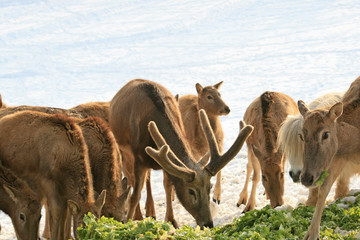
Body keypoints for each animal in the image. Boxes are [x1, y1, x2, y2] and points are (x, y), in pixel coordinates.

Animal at [0, 111, 105, 240]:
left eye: (98, 223)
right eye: (81, 227)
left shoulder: (63, 190)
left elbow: (64, 212)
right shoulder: (47, 182)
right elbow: (56, 211)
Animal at [109, 79, 253, 229]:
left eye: (210, 187)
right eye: (191, 191)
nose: (208, 223)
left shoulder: (167, 161)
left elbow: (168, 187)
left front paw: (171, 220)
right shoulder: (139, 158)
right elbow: (135, 195)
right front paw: (128, 222)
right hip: (123, 151)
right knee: (130, 179)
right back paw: (139, 215)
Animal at [296, 76, 360, 239]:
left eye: (325, 134)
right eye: (301, 135)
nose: (306, 178)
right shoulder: (337, 158)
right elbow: (323, 190)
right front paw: (311, 234)